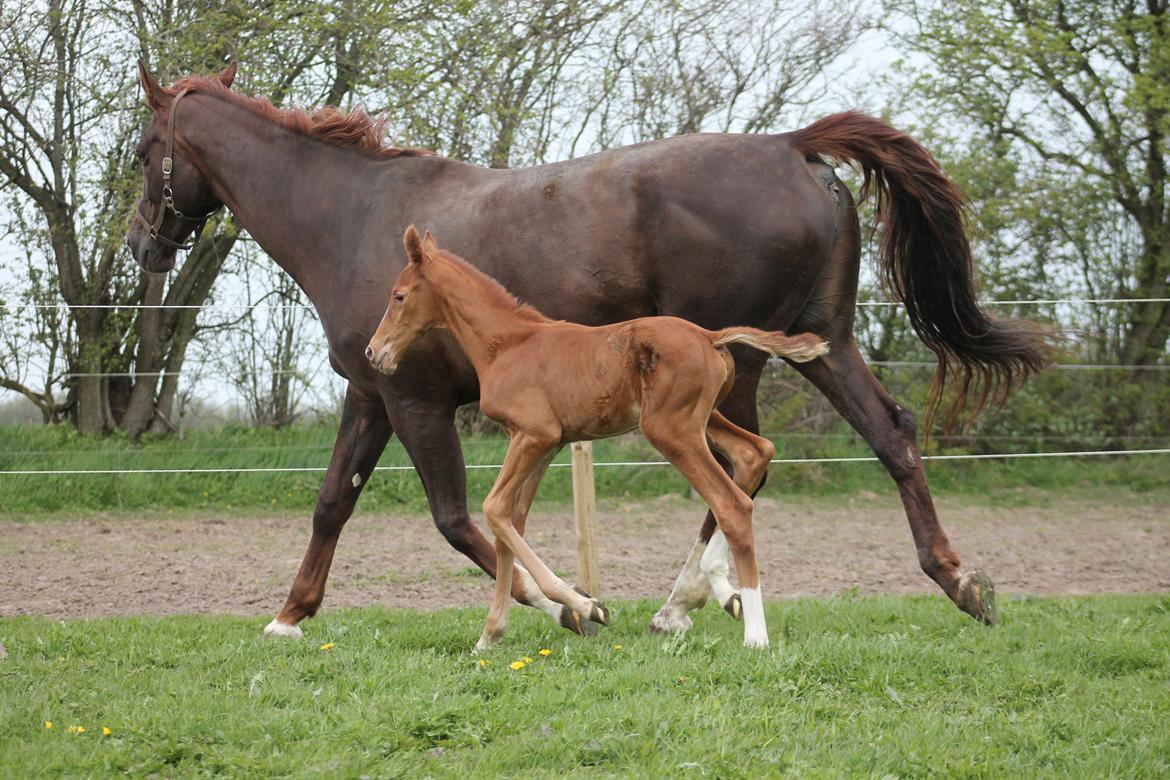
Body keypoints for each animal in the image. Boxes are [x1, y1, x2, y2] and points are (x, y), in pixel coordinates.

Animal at [369, 225, 828, 645]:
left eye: (398, 295)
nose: (375, 352)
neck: (508, 345)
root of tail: (709, 336)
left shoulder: (532, 435)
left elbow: (495, 509)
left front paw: (587, 605)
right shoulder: (546, 443)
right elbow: (512, 523)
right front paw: (490, 635)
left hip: (671, 430)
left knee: (731, 503)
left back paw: (754, 634)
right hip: (704, 420)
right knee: (754, 454)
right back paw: (714, 585)